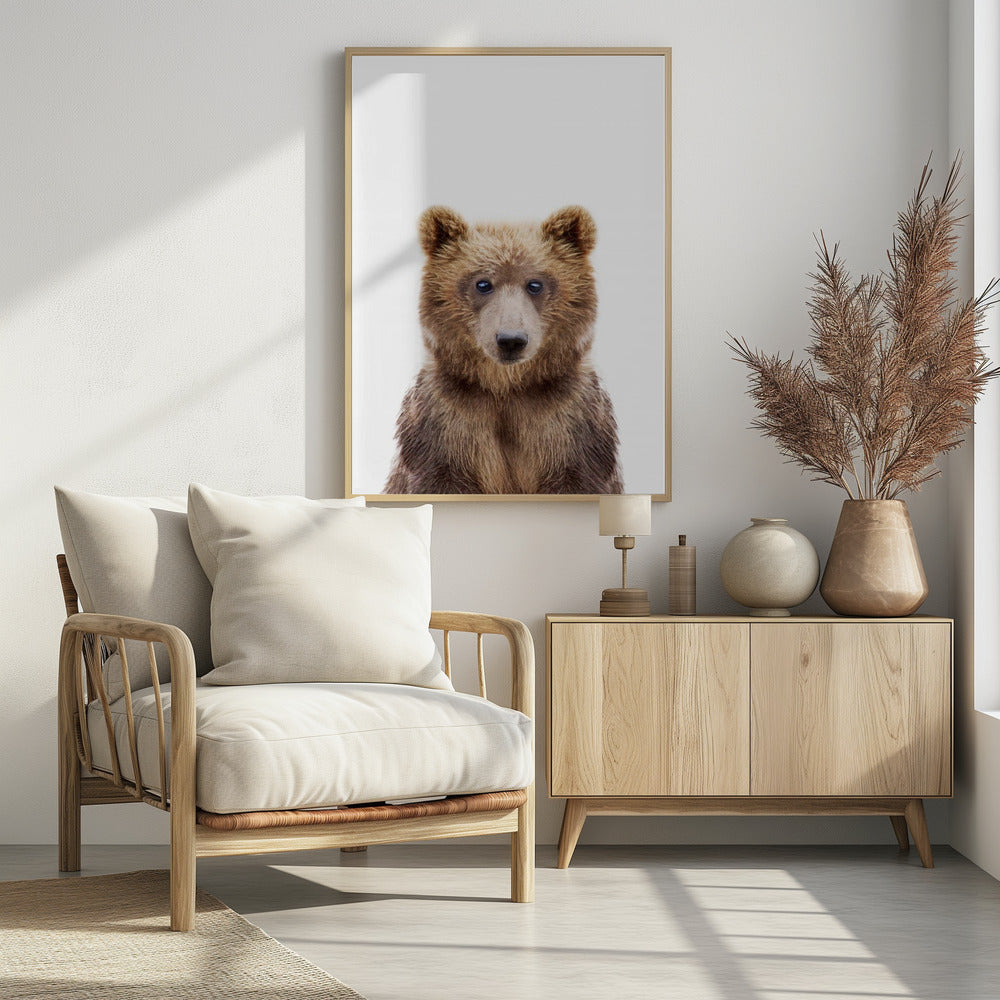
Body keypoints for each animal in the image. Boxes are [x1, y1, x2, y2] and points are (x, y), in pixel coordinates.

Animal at [384, 205, 624, 495]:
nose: (511, 339)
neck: (506, 387)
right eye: (483, 283)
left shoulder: (570, 422)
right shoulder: (445, 422)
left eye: (535, 284)